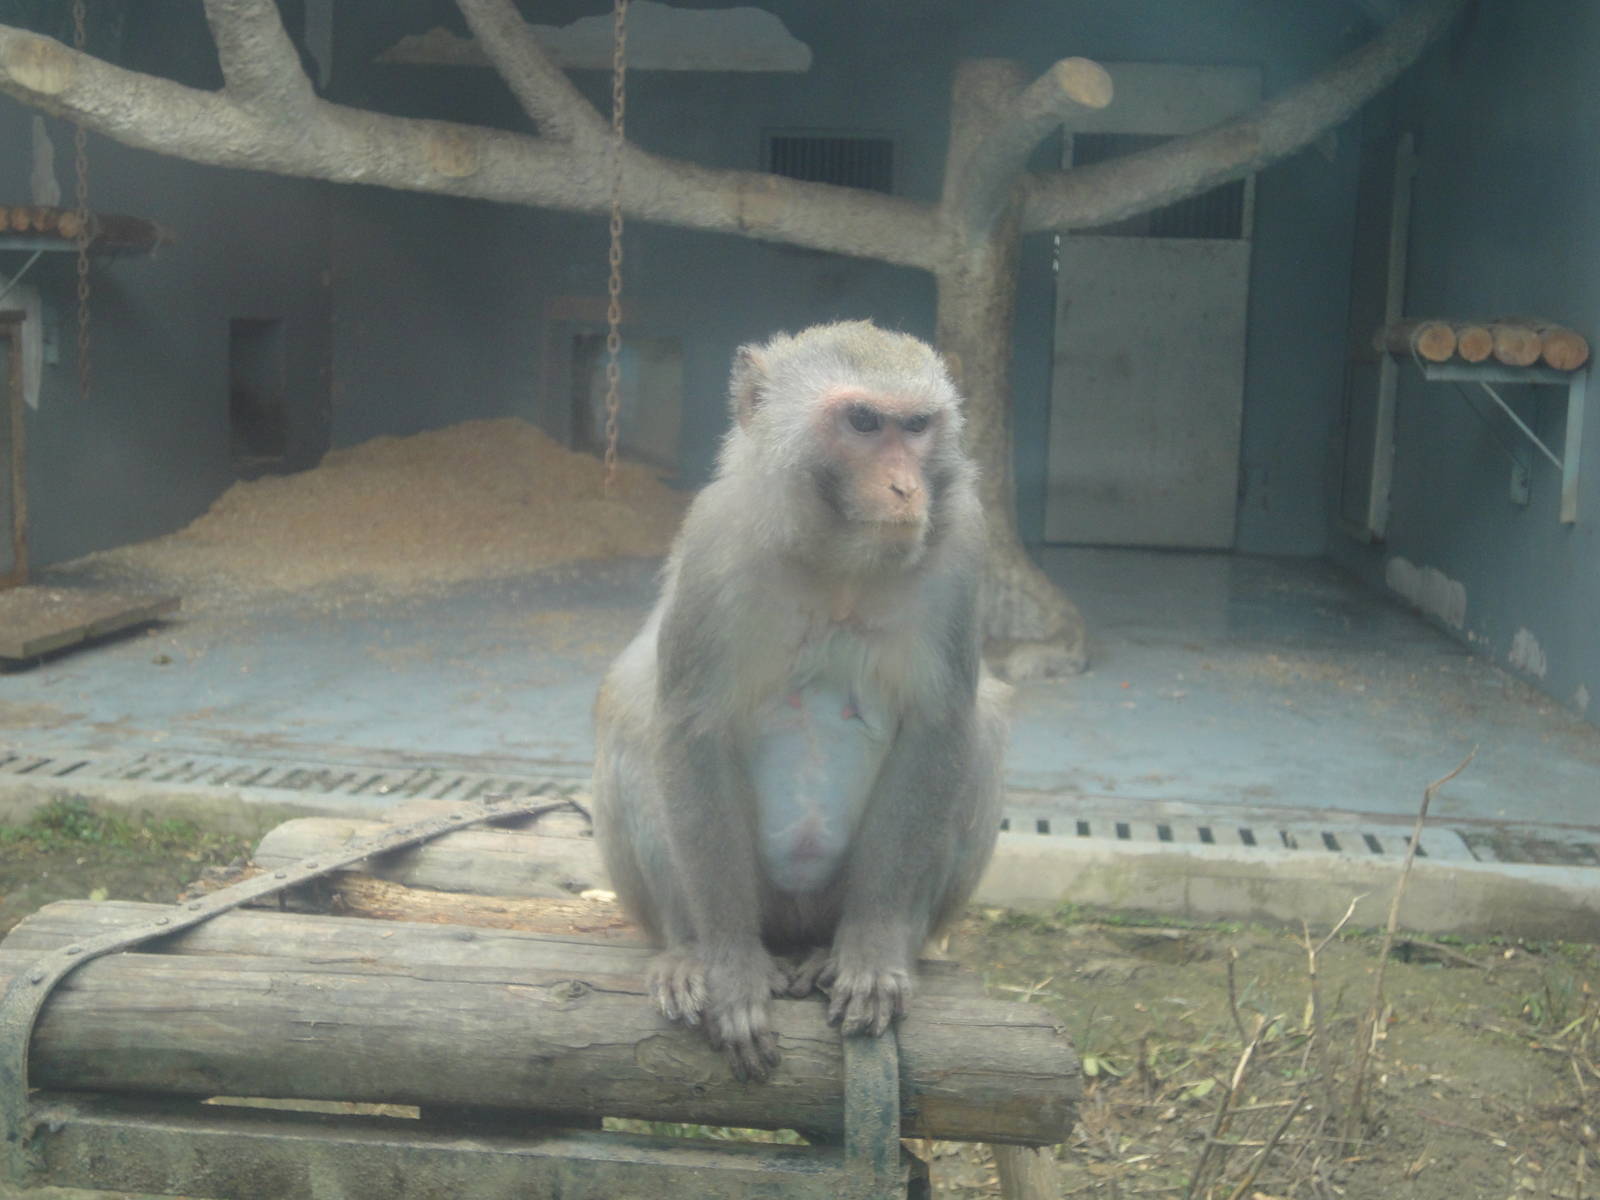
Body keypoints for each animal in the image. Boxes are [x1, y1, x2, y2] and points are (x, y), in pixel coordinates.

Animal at [591, 320, 1010, 1080]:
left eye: (916, 426)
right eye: (864, 422)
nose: (905, 488)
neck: (837, 560)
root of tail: (793, 923)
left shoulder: (964, 547)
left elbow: (939, 728)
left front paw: (873, 951)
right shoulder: (716, 540)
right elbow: (690, 728)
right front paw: (729, 966)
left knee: (982, 731)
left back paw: (860, 948)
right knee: (632, 716)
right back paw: (686, 950)